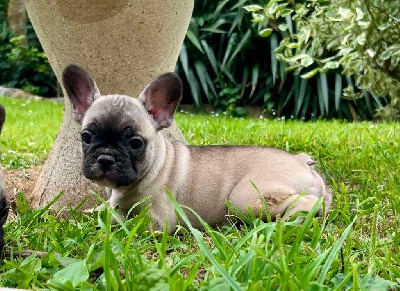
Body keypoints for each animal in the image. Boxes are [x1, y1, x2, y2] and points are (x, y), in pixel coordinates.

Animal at [62, 65, 332, 233]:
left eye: (136, 143)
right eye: (86, 137)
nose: (105, 158)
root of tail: (301, 161)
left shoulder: (157, 221)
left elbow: (119, 221)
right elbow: (100, 210)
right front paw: (81, 215)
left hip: (244, 197)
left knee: (307, 201)